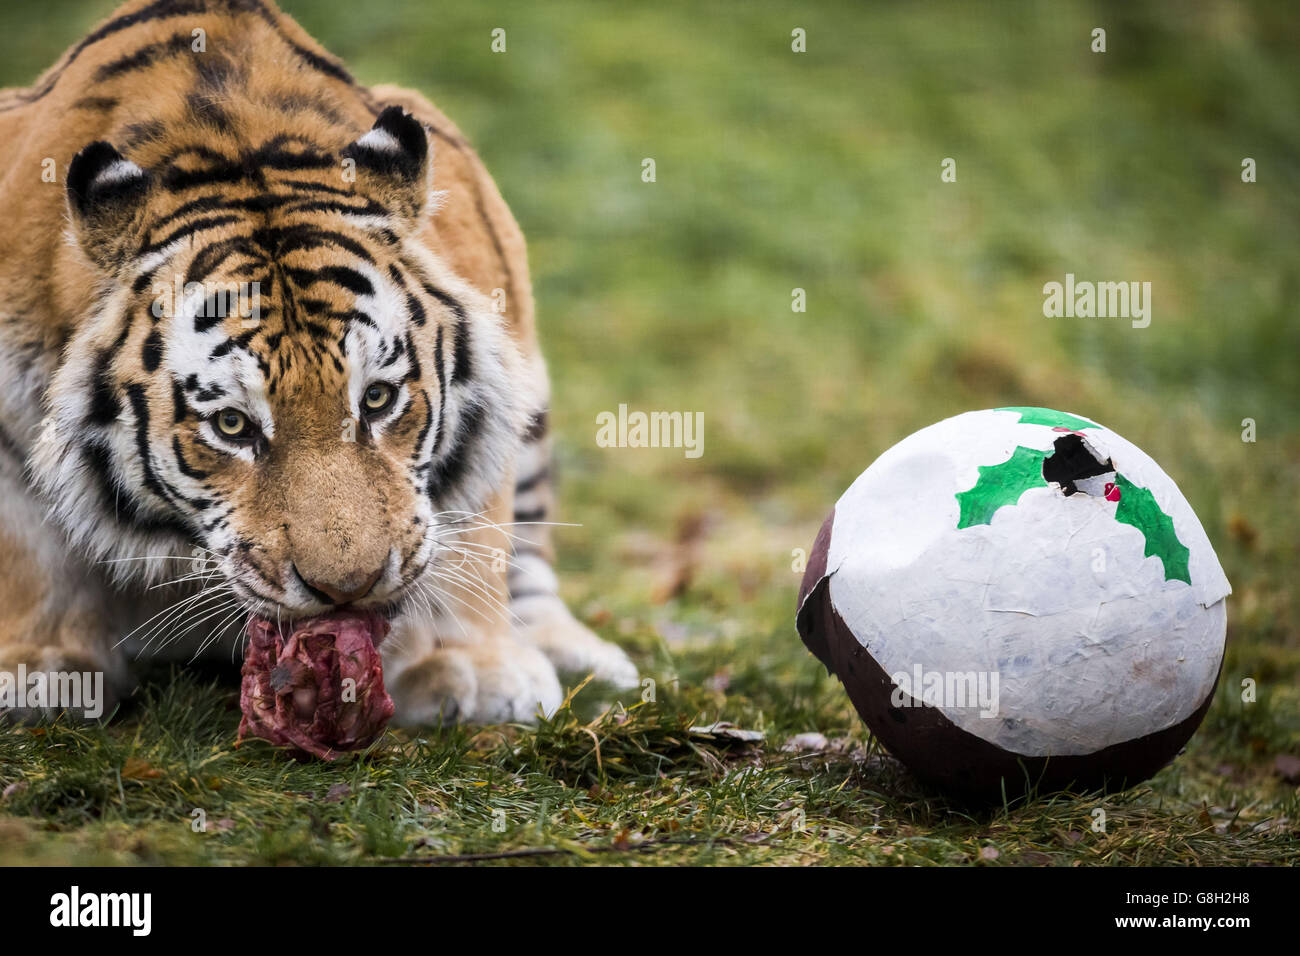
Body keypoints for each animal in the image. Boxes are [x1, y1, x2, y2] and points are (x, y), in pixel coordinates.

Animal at [0, 0, 634, 723]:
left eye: (378, 399)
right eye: (232, 426)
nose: (348, 588)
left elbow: (473, 523)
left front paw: (471, 669)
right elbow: (26, 543)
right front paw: (42, 667)